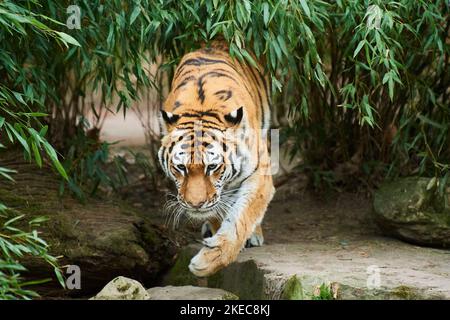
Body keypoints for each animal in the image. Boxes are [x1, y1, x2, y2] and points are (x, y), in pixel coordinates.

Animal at [160, 41, 276, 276]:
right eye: (181, 168)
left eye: (212, 167)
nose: (195, 205)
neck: (200, 109)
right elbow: (216, 212)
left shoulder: (259, 173)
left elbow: (241, 218)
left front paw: (208, 261)